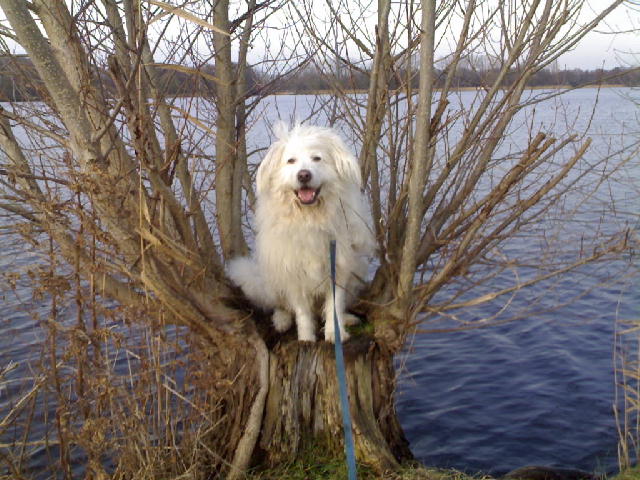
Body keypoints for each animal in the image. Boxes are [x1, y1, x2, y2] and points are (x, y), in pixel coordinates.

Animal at [230, 124, 376, 342]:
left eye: (317, 158)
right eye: (291, 161)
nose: (304, 175)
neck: (310, 218)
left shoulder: (338, 267)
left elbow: (334, 305)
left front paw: (334, 333)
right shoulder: (292, 272)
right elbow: (302, 312)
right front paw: (306, 339)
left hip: (356, 269)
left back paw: (347, 319)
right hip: (272, 276)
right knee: (281, 305)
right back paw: (281, 320)